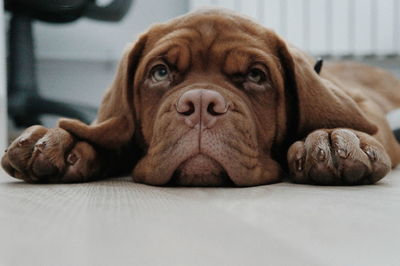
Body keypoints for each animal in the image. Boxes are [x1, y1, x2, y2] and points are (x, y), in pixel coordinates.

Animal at [0, 9, 400, 186]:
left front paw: (332, 138)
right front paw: (58, 140)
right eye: (160, 72)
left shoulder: (365, 107)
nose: (203, 105)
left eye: (256, 76)